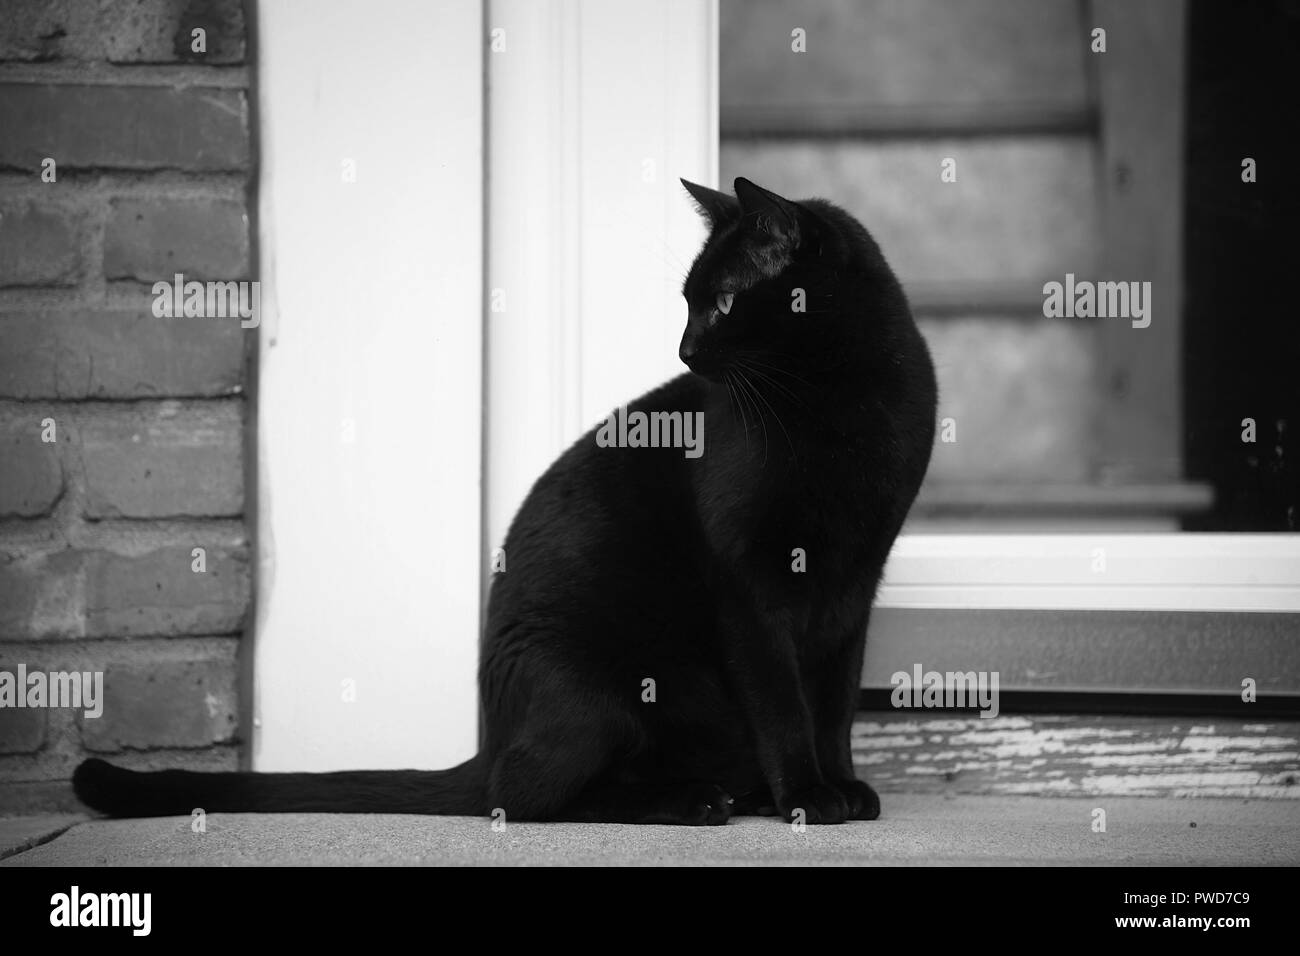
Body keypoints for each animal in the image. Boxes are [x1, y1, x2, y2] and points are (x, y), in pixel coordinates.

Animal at [73, 183, 935, 827]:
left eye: (721, 303)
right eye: (690, 304)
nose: (685, 350)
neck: (845, 406)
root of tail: (490, 735)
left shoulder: (855, 582)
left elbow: (833, 701)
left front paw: (841, 787)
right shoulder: (750, 588)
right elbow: (785, 704)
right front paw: (808, 797)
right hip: (599, 690)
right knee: (524, 796)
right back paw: (699, 800)